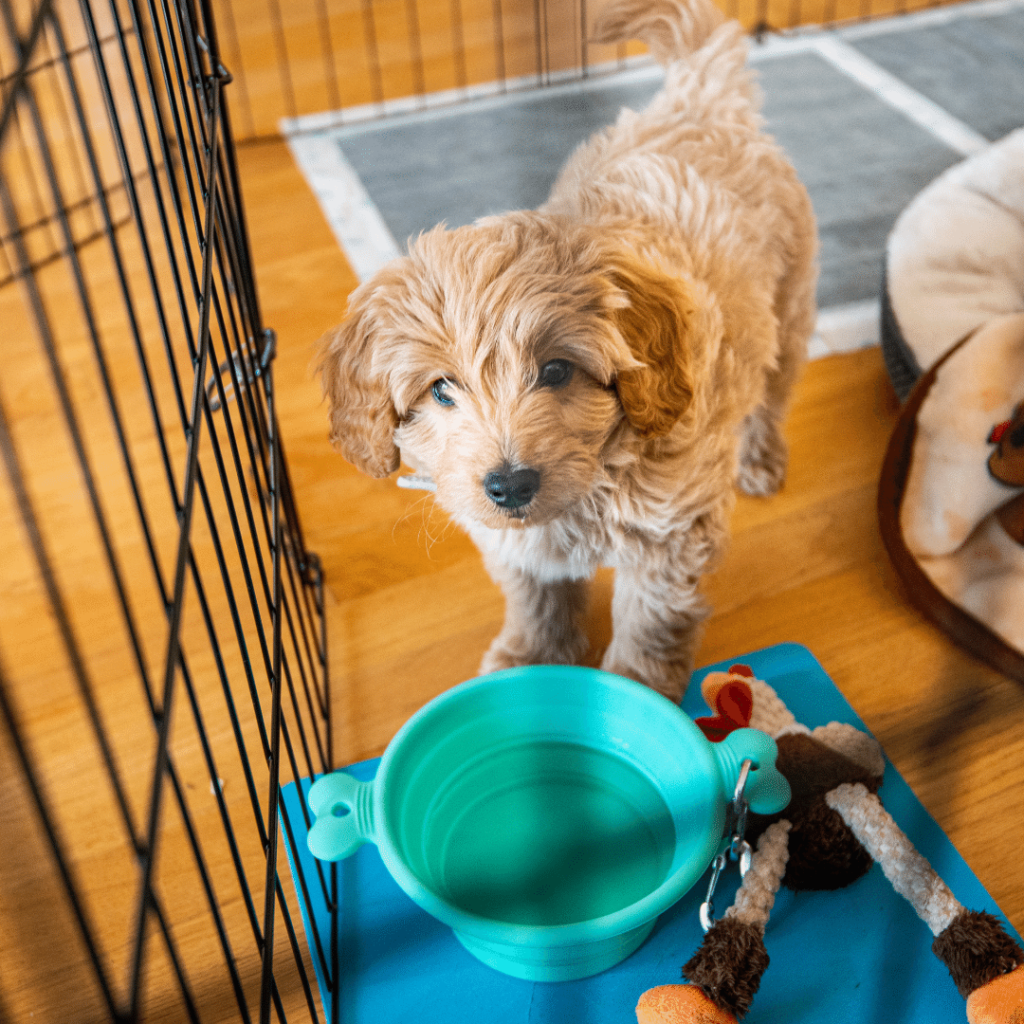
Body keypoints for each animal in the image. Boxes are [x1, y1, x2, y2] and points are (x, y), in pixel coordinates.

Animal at [315, 0, 819, 700]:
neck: (596, 477)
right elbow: (535, 595)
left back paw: (762, 458)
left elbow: (650, 619)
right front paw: (530, 656)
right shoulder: (517, 542)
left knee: (772, 396)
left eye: (555, 371)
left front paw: (638, 687)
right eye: (441, 389)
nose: (509, 484)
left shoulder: (670, 537)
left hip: (791, 305)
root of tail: (698, 101)